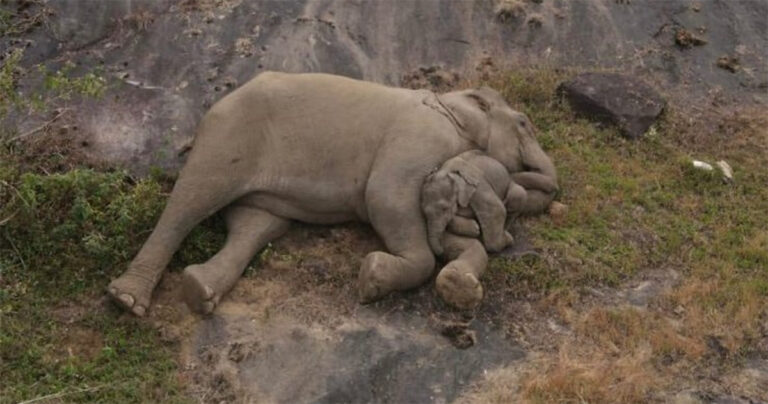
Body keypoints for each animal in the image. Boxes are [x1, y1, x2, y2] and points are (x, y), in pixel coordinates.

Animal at [420, 150, 560, 308]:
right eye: (424, 212)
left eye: (444, 208)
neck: (447, 171)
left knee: (516, 198)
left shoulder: (479, 187)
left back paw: (506, 231)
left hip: (513, 190)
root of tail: (510, 175)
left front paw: (507, 240)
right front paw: (474, 229)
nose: (440, 255)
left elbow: (495, 210)